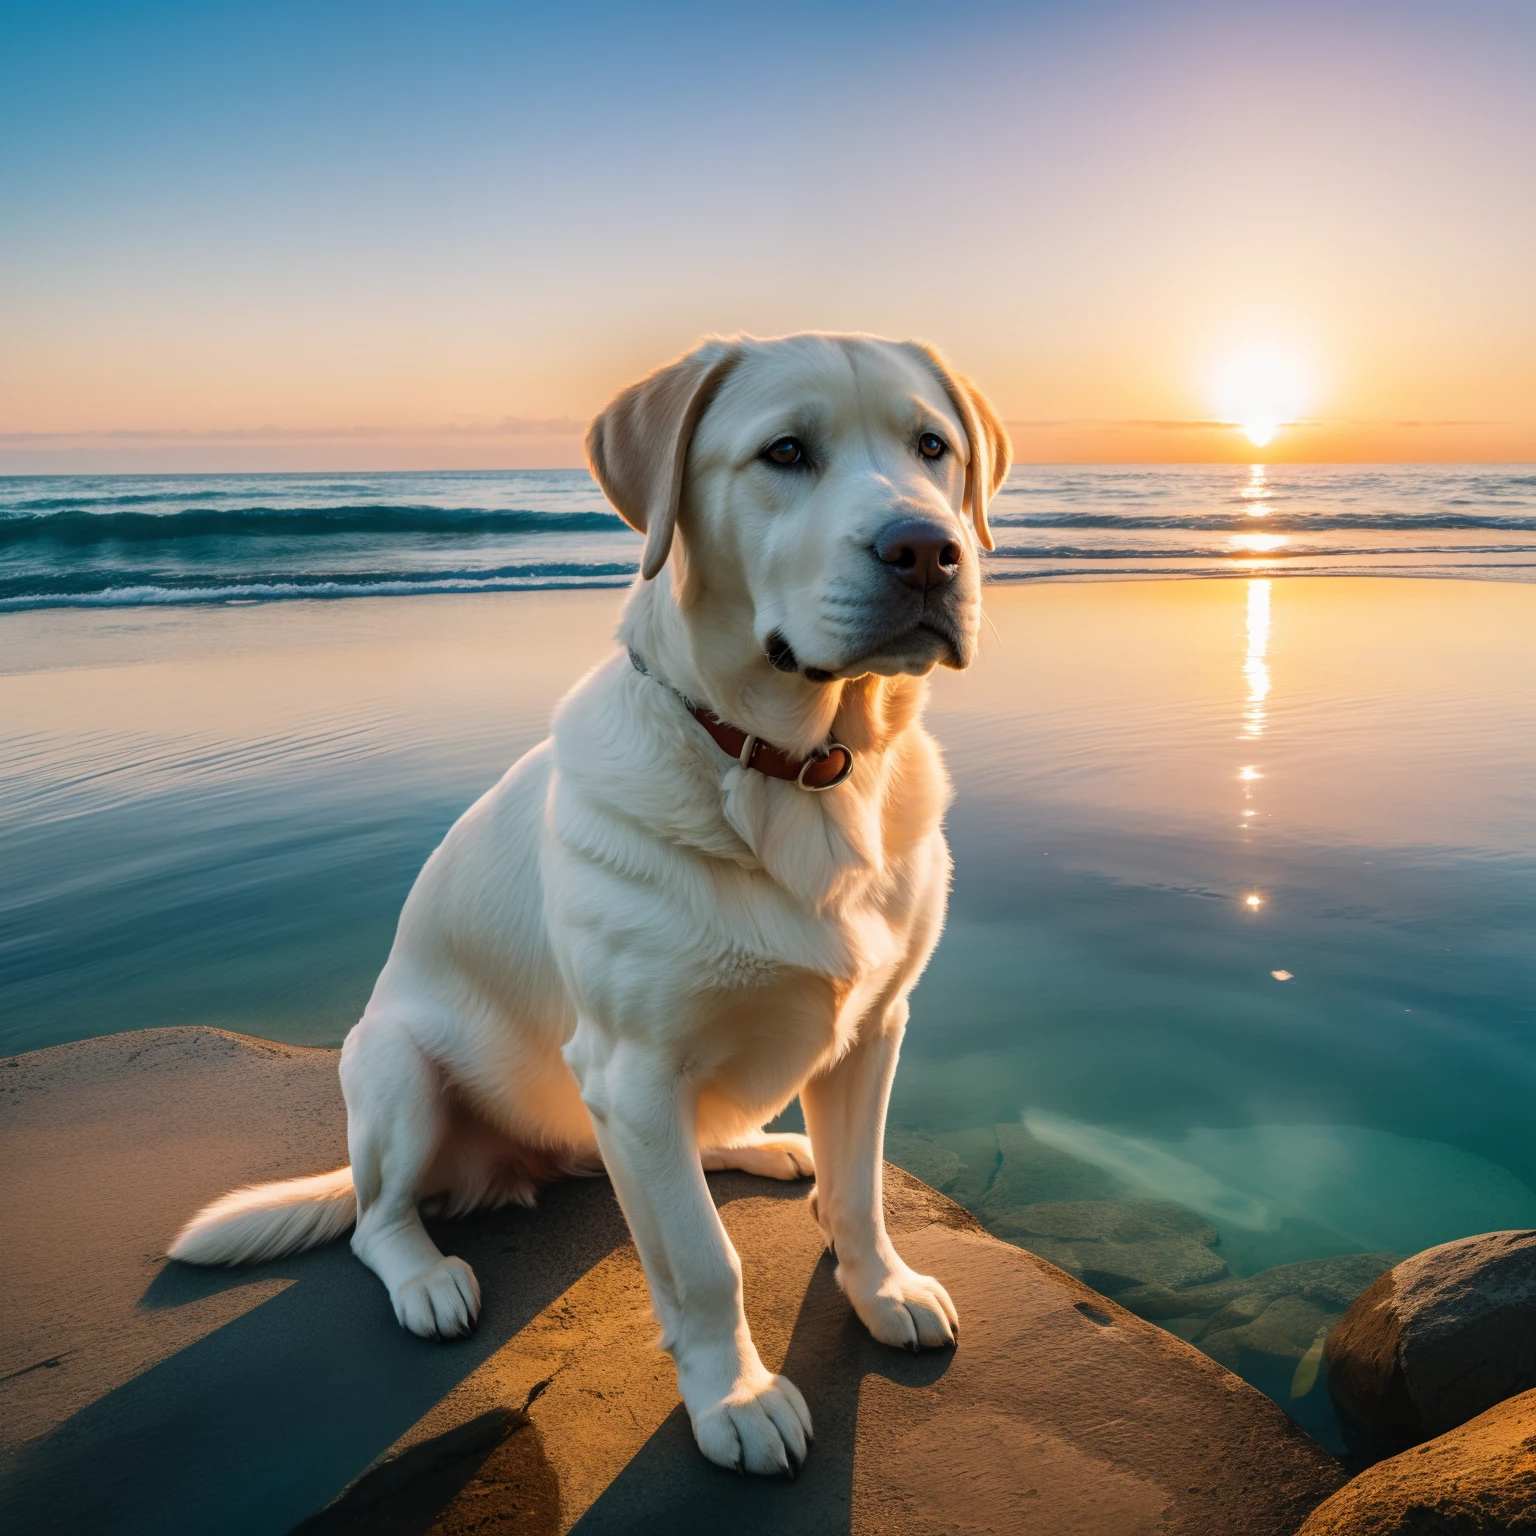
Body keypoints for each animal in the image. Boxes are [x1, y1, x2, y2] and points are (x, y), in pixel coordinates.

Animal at [171, 336, 1007, 1474]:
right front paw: (736, 1397)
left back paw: (755, 1142)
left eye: (933, 448)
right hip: (394, 1067)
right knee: (377, 1219)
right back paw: (426, 1275)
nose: (928, 551)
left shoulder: (875, 1027)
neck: (800, 774)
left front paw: (881, 1290)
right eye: (785, 452)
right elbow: (702, 1261)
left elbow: (861, 1190)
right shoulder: (631, 1068)